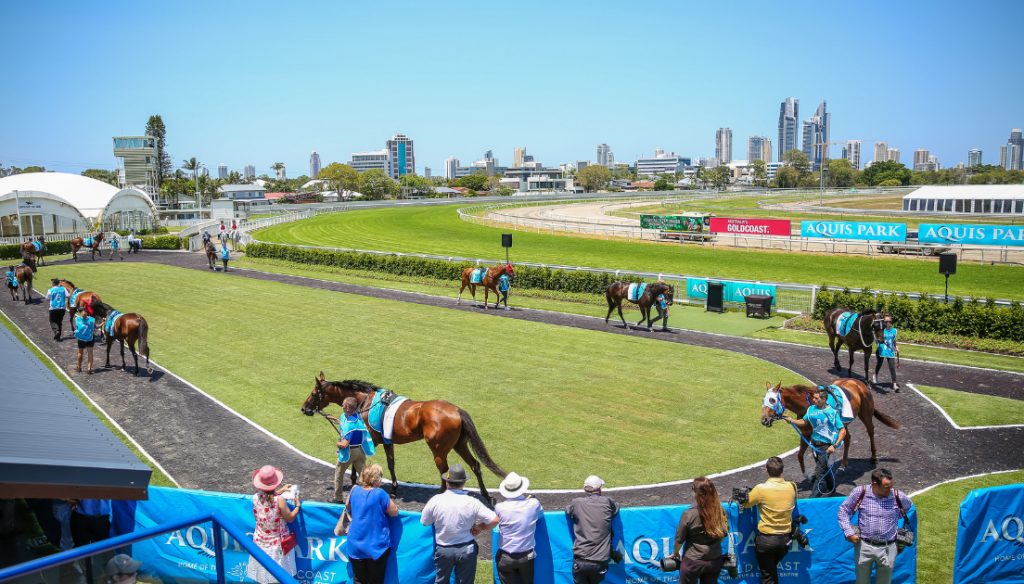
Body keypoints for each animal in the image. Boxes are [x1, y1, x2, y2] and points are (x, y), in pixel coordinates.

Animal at [301, 372, 509, 499]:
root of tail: (457, 410)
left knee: (444, 471)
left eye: (314, 392)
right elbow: (391, 463)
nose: (304, 408)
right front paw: (393, 488)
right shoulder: (387, 441)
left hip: (439, 450)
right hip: (459, 445)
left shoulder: (370, 439)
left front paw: (354, 480)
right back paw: (486, 495)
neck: (367, 401)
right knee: (475, 465)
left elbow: (357, 458)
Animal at [757, 377, 901, 473]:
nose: (764, 420)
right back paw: (843, 464)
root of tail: (859, 382)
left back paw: (873, 457)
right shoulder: (806, 433)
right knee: (848, 438)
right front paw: (806, 474)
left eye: (772, 400)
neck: (807, 404)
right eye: (763, 400)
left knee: (871, 431)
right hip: (844, 423)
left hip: (865, 414)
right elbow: (800, 455)